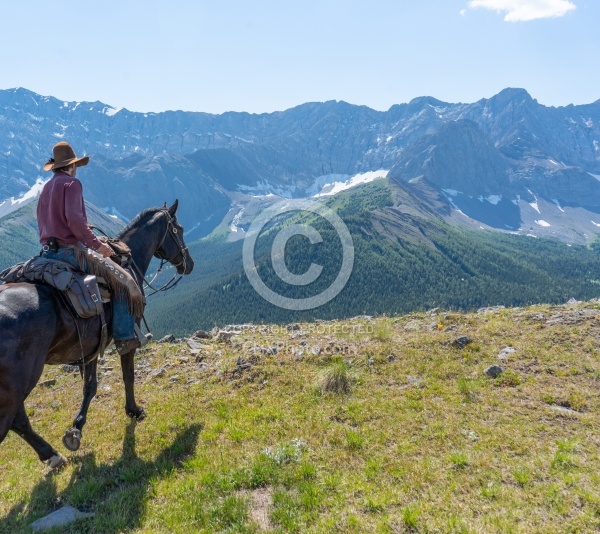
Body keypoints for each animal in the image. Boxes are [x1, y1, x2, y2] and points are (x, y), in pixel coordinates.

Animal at [0, 200, 193, 468]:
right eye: (179, 229)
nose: (189, 264)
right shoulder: (127, 334)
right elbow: (128, 375)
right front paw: (134, 410)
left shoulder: (90, 347)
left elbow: (90, 386)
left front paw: (76, 429)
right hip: (21, 377)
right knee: (13, 420)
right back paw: (51, 455)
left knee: (18, 420)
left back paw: (51, 455)